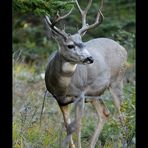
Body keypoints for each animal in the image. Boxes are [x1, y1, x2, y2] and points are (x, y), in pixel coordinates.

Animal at [43, 0, 127, 147]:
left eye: (83, 44)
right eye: (70, 45)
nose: (90, 58)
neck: (63, 87)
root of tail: (124, 49)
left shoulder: (80, 95)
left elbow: (78, 125)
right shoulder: (60, 100)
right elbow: (67, 126)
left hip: (117, 81)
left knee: (122, 114)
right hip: (94, 94)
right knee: (104, 113)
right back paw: (92, 144)